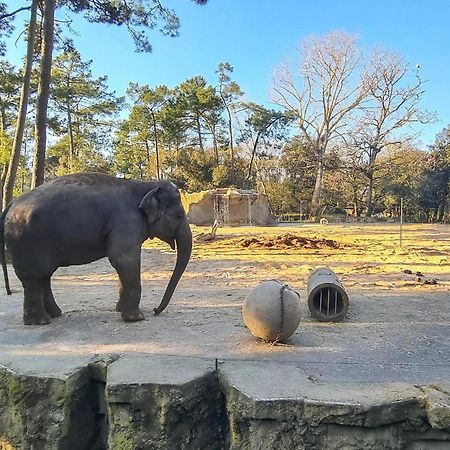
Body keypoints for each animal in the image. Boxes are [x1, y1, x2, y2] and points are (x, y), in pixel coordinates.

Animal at [0, 171, 192, 324]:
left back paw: (55, 314)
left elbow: (122, 265)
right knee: (34, 278)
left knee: (43, 276)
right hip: (26, 241)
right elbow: (124, 261)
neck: (145, 185)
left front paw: (119, 309)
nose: (154, 310)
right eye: (179, 216)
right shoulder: (126, 223)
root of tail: (10, 205)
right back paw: (40, 321)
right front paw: (136, 318)